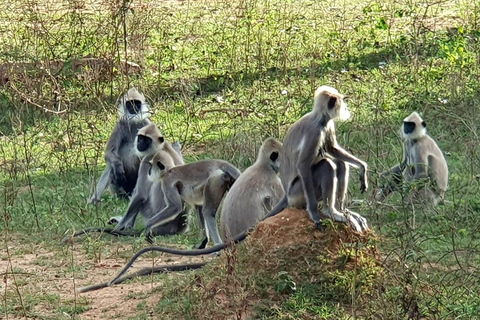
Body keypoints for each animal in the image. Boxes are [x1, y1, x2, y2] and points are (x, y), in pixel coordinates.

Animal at [264, 85, 370, 232]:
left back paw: (342, 210)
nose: (346, 107)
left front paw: (362, 167)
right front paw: (314, 213)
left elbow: (332, 149)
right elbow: (303, 165)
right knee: (327, 165)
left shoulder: (328, 125)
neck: (320, 118)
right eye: (342, 102)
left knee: (340, 163)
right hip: (298, 193)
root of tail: (287, 195)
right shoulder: (315, 132)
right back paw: (329, 211)